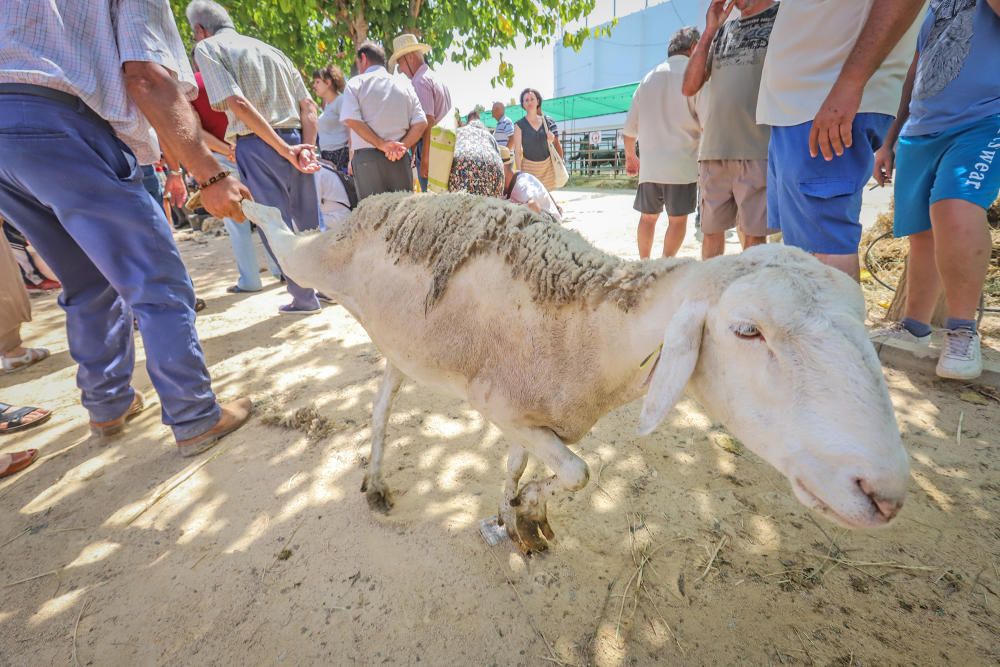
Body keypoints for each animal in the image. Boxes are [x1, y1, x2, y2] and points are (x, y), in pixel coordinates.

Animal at [242, 194, 908, 560]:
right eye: (748, 330)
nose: (885, 493)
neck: (590, 328)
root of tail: (380, 201)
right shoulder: (499, 405)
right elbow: (578, 473)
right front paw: (527, 514)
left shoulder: (539, 418)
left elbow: (524, 468)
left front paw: (514, 516)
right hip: (316, 259)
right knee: (281, 232)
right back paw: (241, 199)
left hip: (401, 349)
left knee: (382, 406)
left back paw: (376, 482)